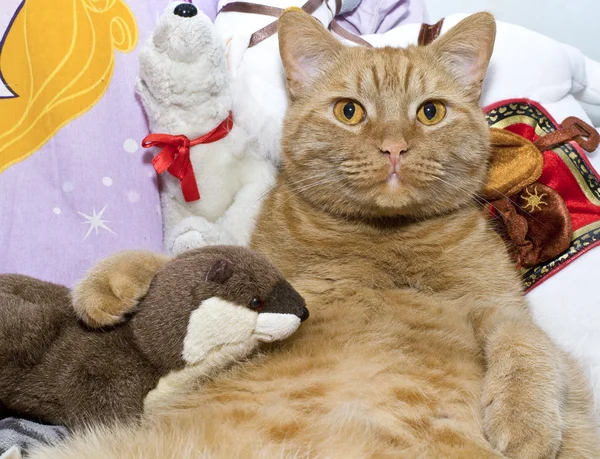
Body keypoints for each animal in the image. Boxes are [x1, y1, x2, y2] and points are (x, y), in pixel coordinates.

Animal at [30, 10, 596, 459]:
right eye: (350, 111)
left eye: (430, 112)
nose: (394, 147)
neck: (382, 239)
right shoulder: (264, 267)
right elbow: (196, 258)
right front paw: (110, 284)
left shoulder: (504, 307)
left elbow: (529, 347)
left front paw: (526, 425)